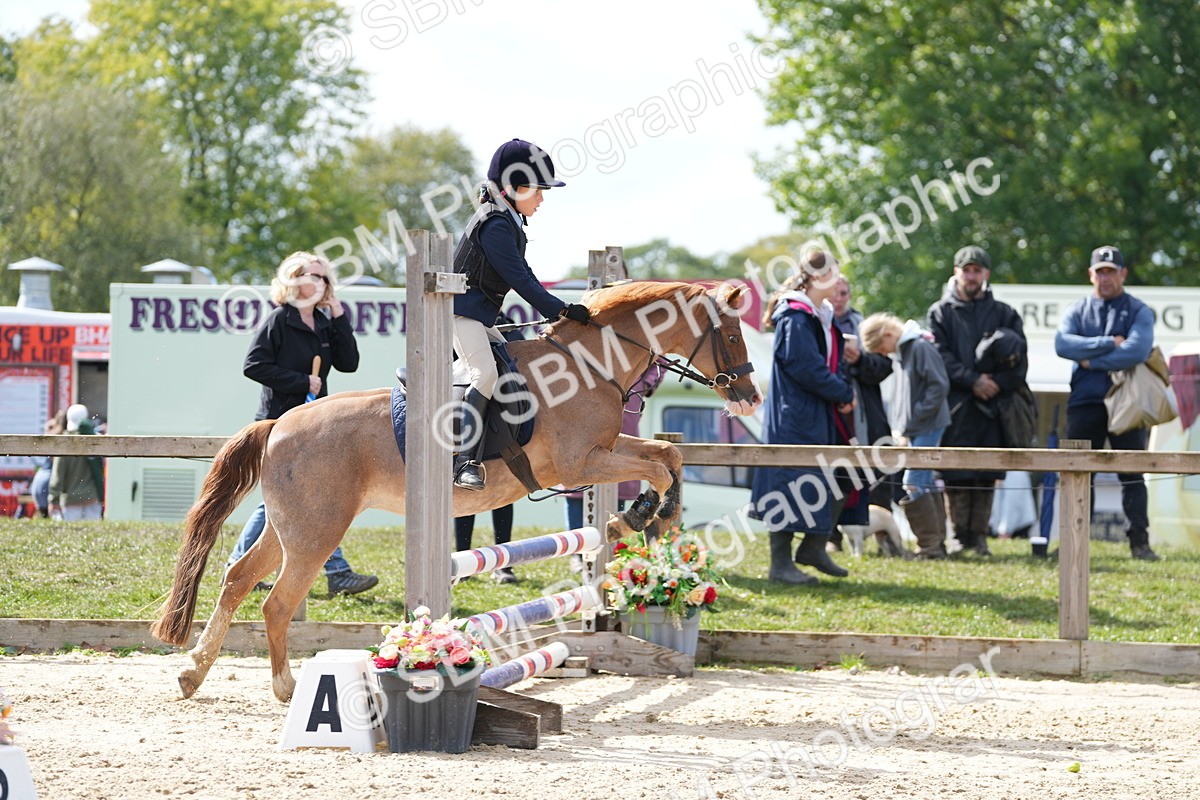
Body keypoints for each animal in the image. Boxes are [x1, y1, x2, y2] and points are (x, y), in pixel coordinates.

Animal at [151, 280, 762, 701]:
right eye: (732, 334)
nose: (751, 397)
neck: (590, 363)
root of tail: (278, 423)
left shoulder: (603, 452)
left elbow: (667, 455)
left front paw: (645, 517)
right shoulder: (579, 463)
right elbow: (657, 468)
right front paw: (639, 517)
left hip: (289, 528)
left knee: (236, 581)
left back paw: (191, 674)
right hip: (316, 531)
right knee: (276, 602)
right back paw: (285, 689)